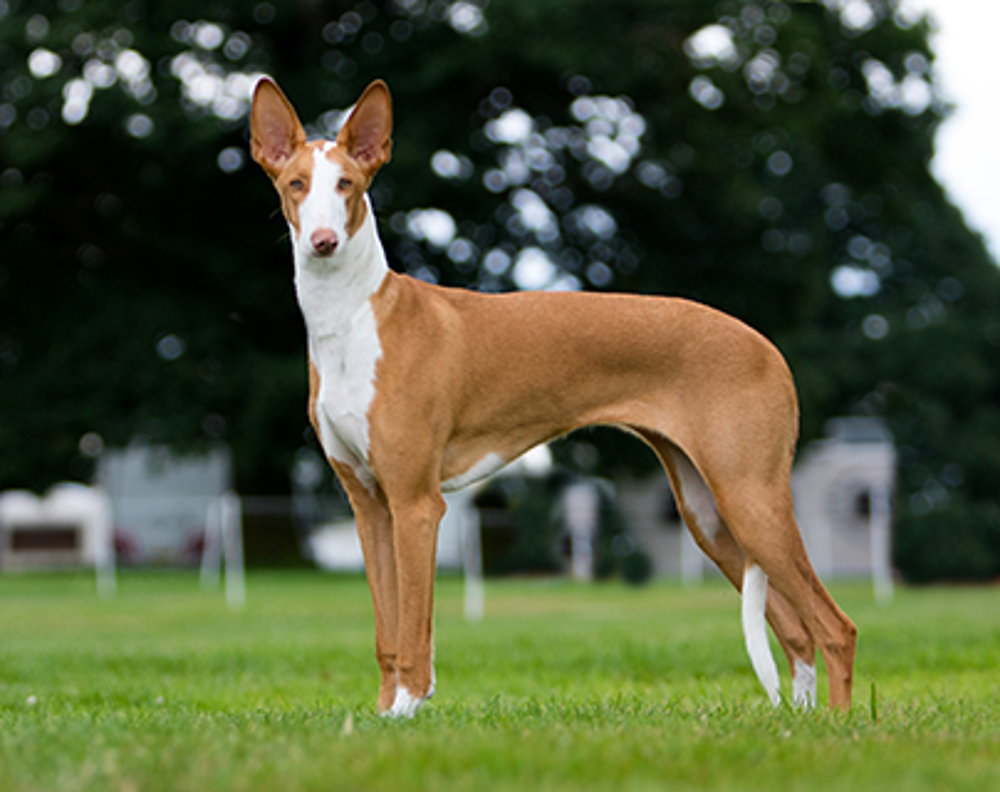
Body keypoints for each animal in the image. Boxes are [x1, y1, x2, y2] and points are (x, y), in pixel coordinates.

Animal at [250, 77, 860, 716]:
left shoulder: (416, 504)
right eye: (296, 184)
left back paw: (838, 726)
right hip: (710, 515)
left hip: (751, 497)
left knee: (834, 626)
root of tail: (767, 347)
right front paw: (385, 717)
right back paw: (798, 722)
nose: (323, 242)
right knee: (794, 631)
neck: (356, 320)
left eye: (348, 183)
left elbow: (415, 631)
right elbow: (387, 632)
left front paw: (409, 711)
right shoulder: (370, 505)